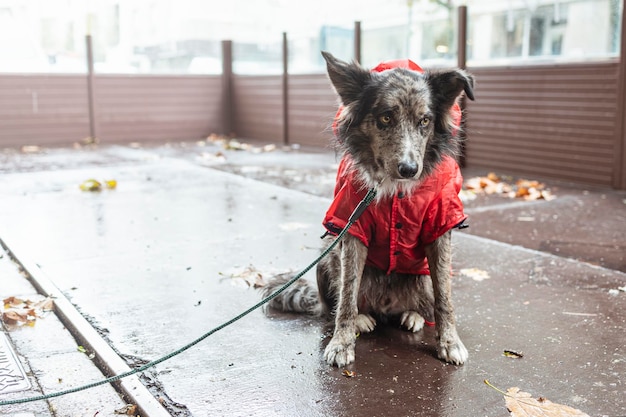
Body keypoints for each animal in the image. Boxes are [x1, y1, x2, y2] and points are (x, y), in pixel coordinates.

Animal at [260, 50, 472, 366]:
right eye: (385, 117)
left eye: (425, 120)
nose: (409, 169)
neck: (395, 190)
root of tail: (386, 306)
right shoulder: (351, 227)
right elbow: (347, 294)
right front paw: (341, 343)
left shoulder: (441, 225)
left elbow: (444, 297)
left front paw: (449, 342)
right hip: (326, 258)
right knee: (335, 306)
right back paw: (363, 318)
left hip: (421, 275)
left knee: (425, 301)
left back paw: (413, 315)